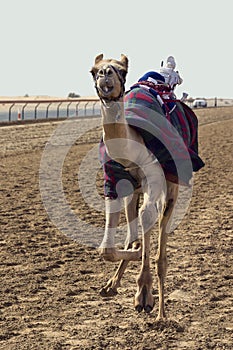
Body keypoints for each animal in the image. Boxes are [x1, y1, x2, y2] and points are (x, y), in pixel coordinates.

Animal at [90, 54, 203, 320]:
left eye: (121, 70)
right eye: (93, 70)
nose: (105, 74)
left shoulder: (155, 177)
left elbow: (147, 216)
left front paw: (144, 295)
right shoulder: (114, 181)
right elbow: (107, 249)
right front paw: (131, 256)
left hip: (172, 184)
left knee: (161, 233)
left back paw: (161, 312)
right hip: (135, 190)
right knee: (135, 222)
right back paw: (113, 284)